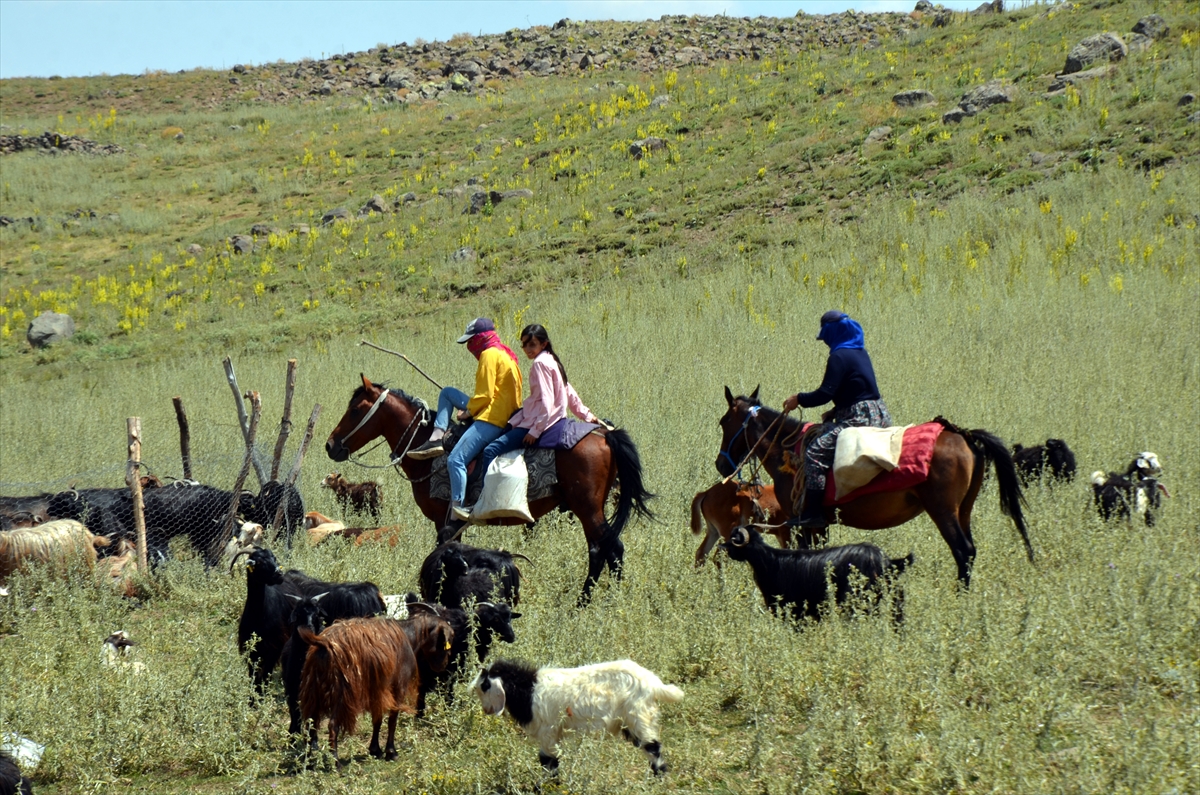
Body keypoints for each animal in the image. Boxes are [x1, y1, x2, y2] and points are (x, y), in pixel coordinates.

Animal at [297, 610, 451, 768]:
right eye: (446, 641)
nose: (444, 664)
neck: (409, 636)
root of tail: (322, 643)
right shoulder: (398, 685)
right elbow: (392, 719)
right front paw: (391, 752)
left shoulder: (376, 689)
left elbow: (377, 719)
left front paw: (375, 750)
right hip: (341, 692)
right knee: (332, 725)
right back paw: (336, 763)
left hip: (312, 689)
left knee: (310, 725)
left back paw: (309, 761)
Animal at [324, 379, 652, 605]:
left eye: (355, 410)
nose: (330, 445)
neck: (426, 451)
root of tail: (605, 433)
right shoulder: (450, 525)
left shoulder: (445, 521)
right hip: (588, 508)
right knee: (601, 550)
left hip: (587, 508)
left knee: (610, 549)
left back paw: (598, 603)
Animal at [475, 658, 686, 778]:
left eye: (484, 687)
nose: (486, 709)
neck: (529, 690)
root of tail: (654, 684)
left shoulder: (549, 732)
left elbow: (548, 762)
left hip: (639, 716)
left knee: (653, 748)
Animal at [710, 389, 1032, 588]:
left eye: (724, 422)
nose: (721, 464)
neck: (788, 449)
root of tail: (962, 434)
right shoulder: (820, 525)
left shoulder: (802, 522)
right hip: (963, 510)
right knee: (971, 551)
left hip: (943, 512)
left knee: (962, 551)